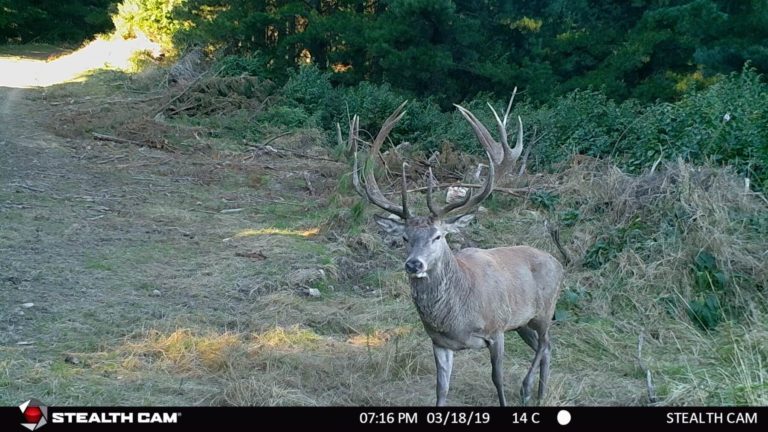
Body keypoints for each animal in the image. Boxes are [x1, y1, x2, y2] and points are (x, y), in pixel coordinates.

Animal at [350, 91, 565, 406]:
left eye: (438, 236)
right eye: (405, 238)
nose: (414, 264)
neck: (457, 317)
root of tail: (559, 262)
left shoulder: (496, 328)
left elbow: (497, 379)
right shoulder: (439, 342)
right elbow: (441, 389)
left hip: (544, 309)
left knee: (547, 341)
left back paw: (526, 388)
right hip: (522, 322)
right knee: (547, 347)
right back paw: (539, 394)